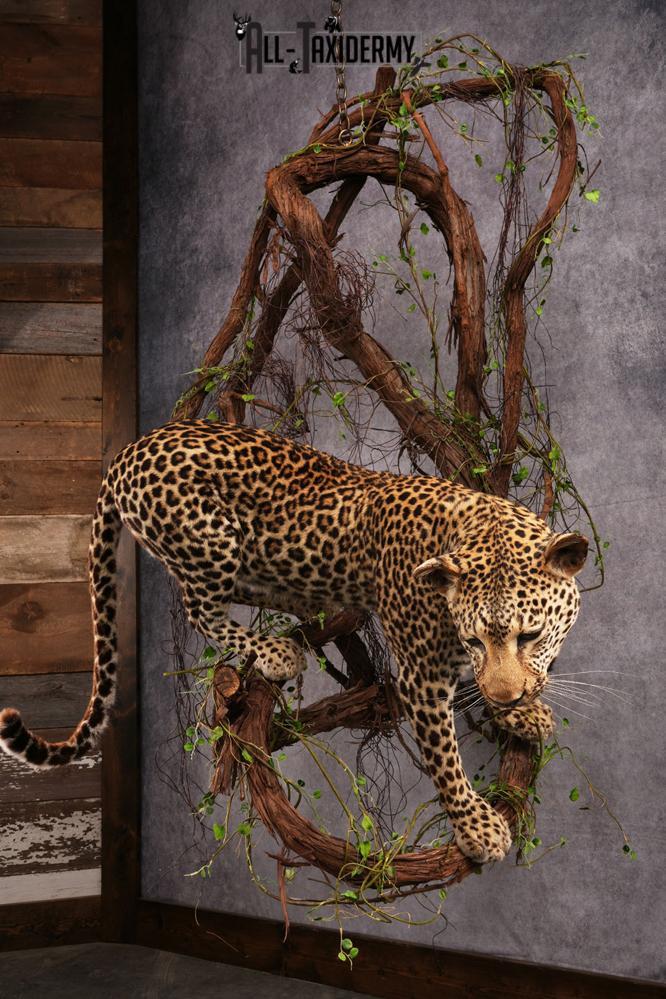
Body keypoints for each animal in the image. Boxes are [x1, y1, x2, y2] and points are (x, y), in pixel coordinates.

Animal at [0, 419, 588, 863]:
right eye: (474, 639)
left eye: (530, 635)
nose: (508, 698)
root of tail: (129, 450)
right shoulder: (421, 676)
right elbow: (445, 755)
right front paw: (476, 827)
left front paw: (521, 713)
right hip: (208, 541)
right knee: (198, 608)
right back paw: (275, 649)